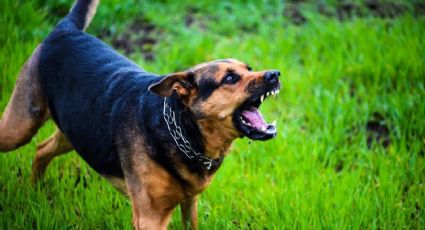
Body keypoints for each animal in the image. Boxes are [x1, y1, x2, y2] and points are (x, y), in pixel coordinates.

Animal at [0, 0, 282, 229]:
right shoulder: (150, 217)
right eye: (230, 79)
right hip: (20, 126)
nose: (275, 74)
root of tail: (65, 29)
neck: (181, 130)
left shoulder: (190, 202)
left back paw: (35, 190)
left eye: (249, 68)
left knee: (42, 149)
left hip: (77, 131)